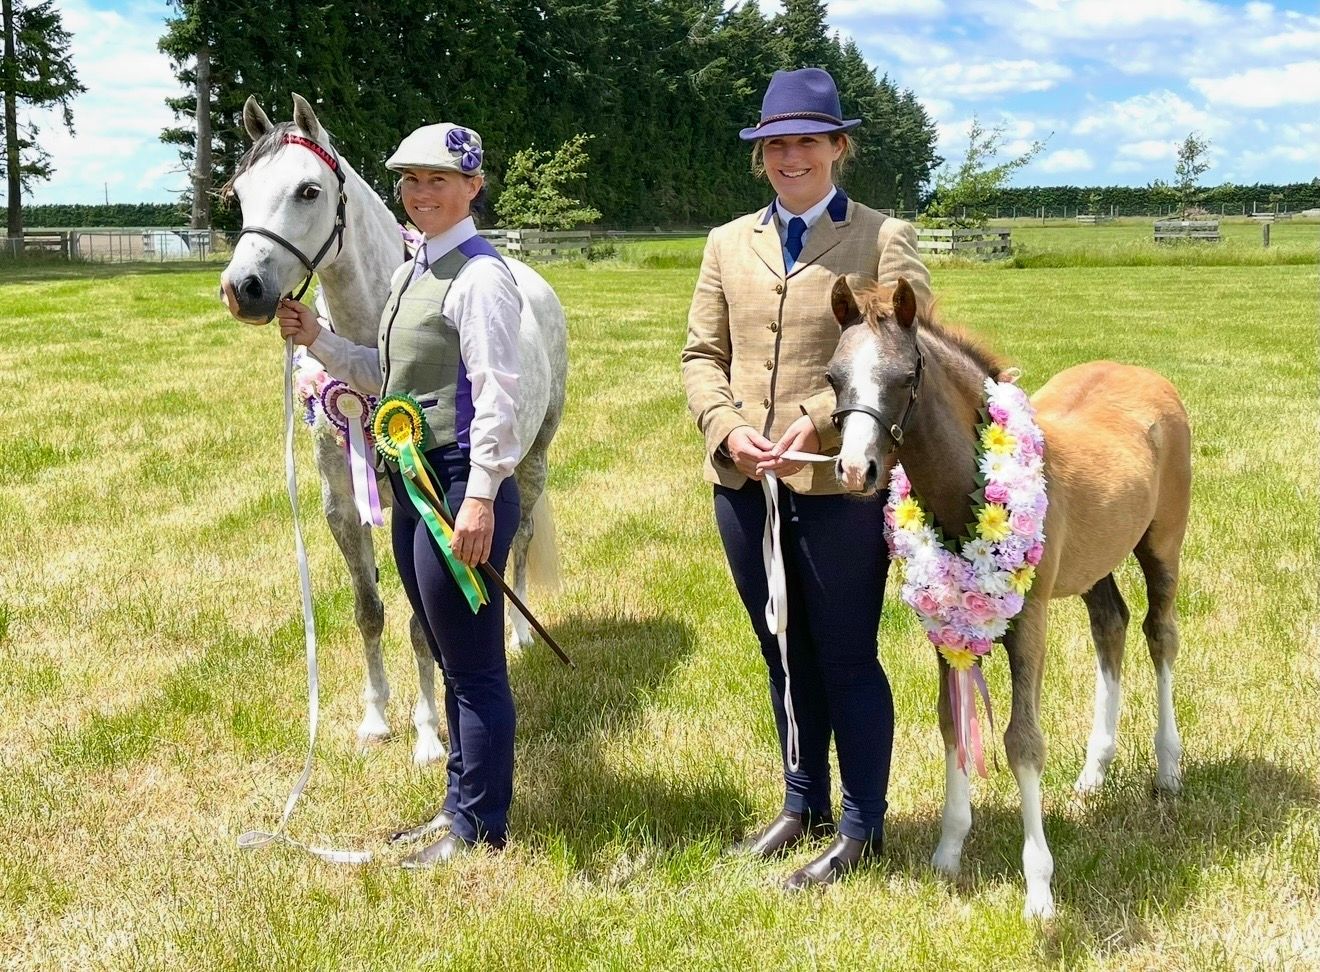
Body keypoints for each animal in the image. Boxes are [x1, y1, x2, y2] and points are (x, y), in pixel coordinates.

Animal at [218, 94, 568, 765]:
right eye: (239, 192)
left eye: (308, 190)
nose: (243, 290)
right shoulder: (341, 506)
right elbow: (371, 611)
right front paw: (376, 718)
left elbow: (422, 623)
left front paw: (429, 733)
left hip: (531, 458)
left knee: (517, 539)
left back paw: (518, 634)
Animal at [826, 275, 1191, 919]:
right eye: (832, 376)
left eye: (906, 375)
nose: (854, 470)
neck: (963, 494)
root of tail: (1150, 377)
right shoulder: (944, 624)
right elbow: (952, 724)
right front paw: (948, 852)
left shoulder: (1031, 619)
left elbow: (1023, 742)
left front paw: (1040, 889)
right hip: (1095, 561)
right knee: (1112, 624)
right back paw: (1095, 770)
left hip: (1162, 544)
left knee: (1160, 634)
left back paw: (1167, 767)